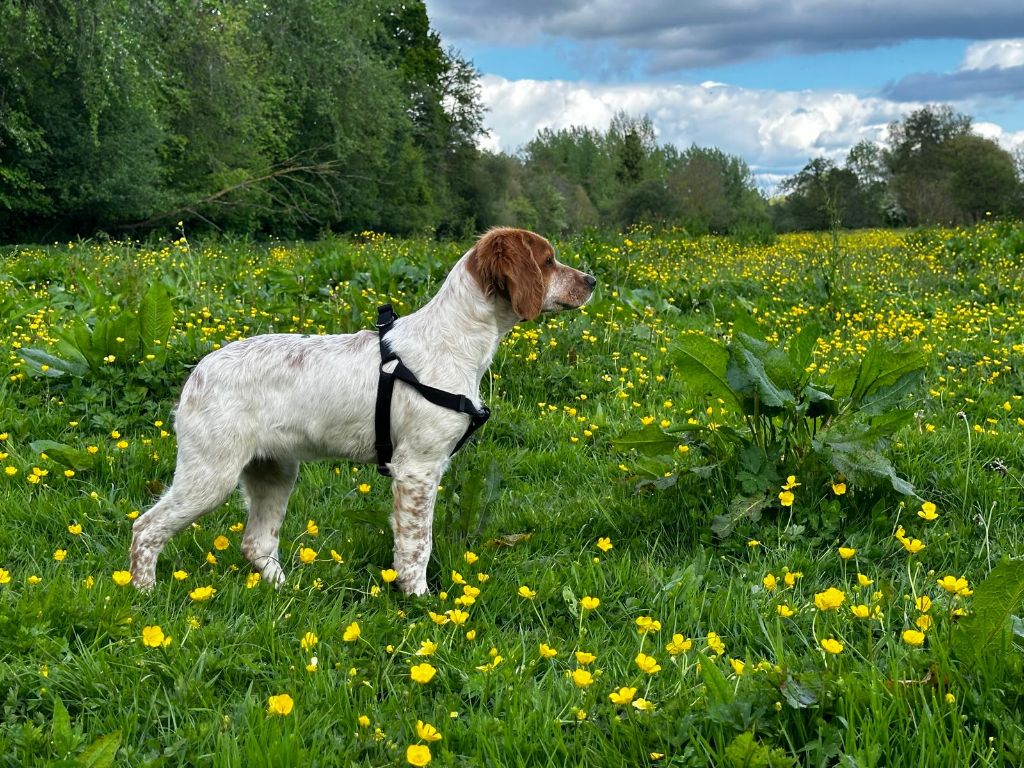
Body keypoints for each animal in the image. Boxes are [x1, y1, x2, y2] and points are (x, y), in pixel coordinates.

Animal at [129, 228, 598, 593]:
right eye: (548, 260)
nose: (592, 280)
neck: (453, 341)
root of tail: (196, 373)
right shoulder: (417, 469)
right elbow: (416, 544)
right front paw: (419, 602)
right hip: (211, 474)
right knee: (145, 528)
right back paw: (143, 595)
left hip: (274, 471)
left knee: (256, 543)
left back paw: (289, 592)